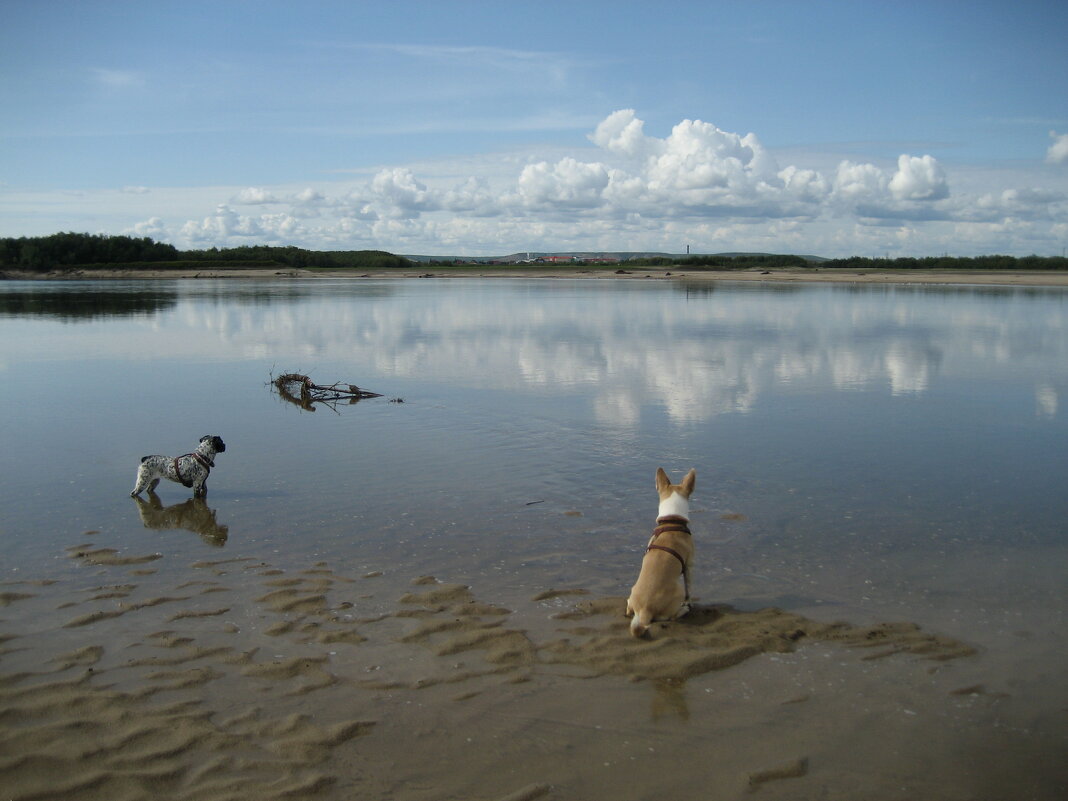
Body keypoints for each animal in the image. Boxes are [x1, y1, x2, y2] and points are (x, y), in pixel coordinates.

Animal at [623, 467, 692, 636]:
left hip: (633, 593)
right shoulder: (689, 565)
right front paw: (689, 602)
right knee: (673, 616)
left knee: (629, 609)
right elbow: (690, 587)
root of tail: (645, 611)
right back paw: (685, 609)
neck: (672, 521)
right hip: (678, 590)